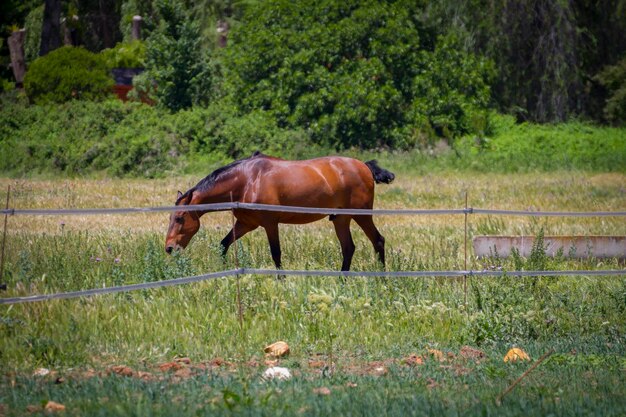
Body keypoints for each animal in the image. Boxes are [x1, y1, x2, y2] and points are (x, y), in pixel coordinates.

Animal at [163, 151, 392, 272]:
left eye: (180, 218)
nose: (169, 248)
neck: (247, 180)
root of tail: (364, 166)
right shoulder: (246, 224)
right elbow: (224, 244)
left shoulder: (270, 224)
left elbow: (276, 253)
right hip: (340, 219)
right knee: (348, 248)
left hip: (361, 215)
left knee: (378, 241)